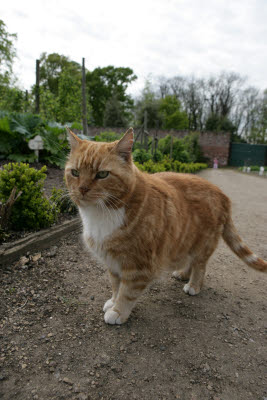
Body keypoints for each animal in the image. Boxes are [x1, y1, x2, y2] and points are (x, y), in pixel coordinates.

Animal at [65, 128, 267, 324]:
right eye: (75, 173)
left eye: (102, 174)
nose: (82, 189)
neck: (101, 213)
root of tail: (223, 195)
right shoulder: (113, 263)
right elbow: (115, 286)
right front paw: (113, 302)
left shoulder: (138, 266)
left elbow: (126, 292)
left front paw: (118, 311)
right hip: (187, 240)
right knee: (192, 261)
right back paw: (183, 273)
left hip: (203, 244)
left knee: (200, 265)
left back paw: (193, 285)